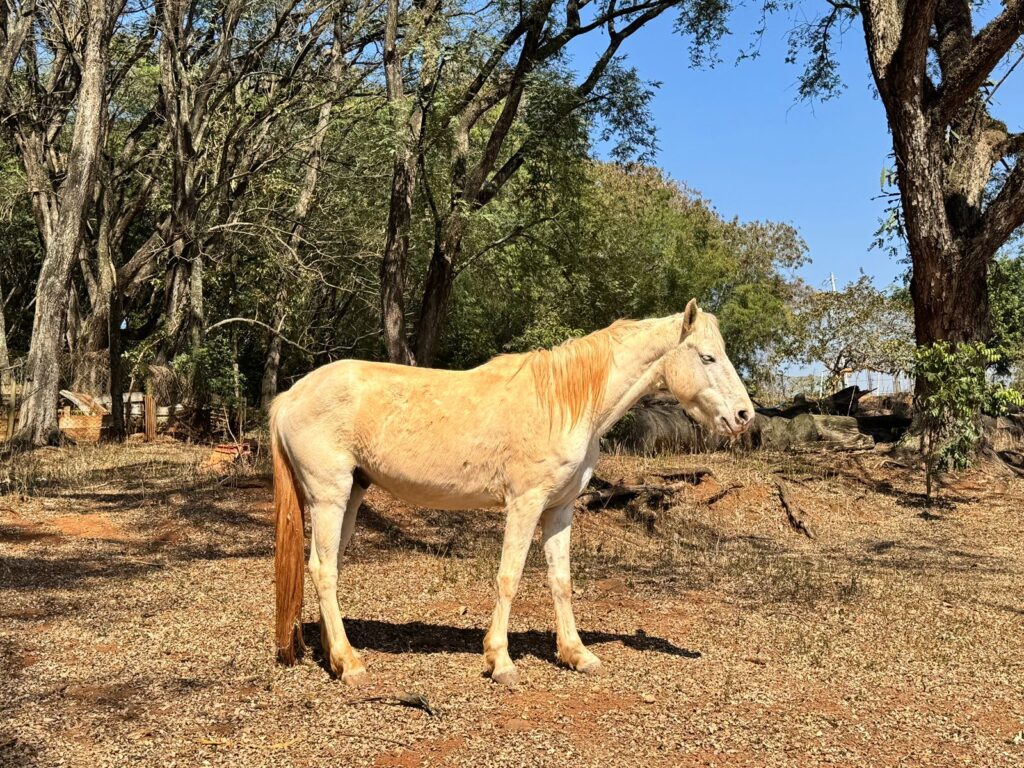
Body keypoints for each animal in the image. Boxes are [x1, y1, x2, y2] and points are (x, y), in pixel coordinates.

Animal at [270, 299, 754, 685]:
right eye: (708, 356)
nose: (744, 416)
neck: (566, 401)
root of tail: (289, 397)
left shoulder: (559, 510)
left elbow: (561, 580)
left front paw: (576, 654)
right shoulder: (525, 504)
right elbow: (510, 577)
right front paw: (500, 661)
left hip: (351, 497)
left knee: (326, 566)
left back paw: (331, 654)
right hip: (329, 497)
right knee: (323, 571)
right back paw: (350, 663)